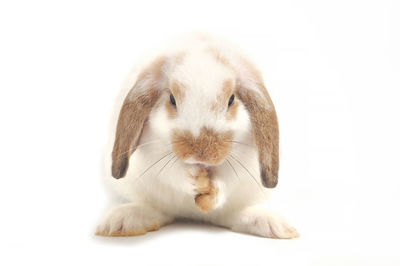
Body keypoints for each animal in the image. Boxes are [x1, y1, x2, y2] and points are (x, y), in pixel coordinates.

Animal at [95, 33, 298, 239]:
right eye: (172, 99)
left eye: (231, 99)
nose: (201, 154)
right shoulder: (155, 154)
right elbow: (171, 173)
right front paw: (193, 182)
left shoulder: (244, 159)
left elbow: (228, 179)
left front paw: (213, 191)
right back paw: (121, 220)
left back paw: (272, 224)